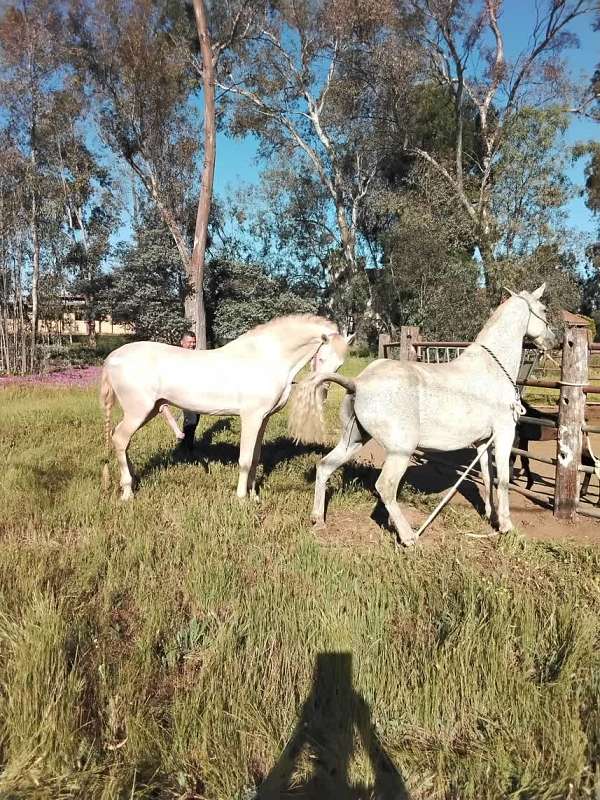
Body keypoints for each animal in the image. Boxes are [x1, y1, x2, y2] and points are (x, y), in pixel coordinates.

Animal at [99, 314, 352, 496]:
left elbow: (256, 457)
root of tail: (112, 357)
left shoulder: (263, 419)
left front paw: (253, 495)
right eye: (321, 357)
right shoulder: (251, 417)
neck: (266, 358)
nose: (323, 391)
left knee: (120, 439)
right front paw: (241, 498)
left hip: (150, 410)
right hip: (138, 411)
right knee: (120, 438)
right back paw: (128, 491)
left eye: (340, 365)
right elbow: (245, 460)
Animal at [288, 286, 556, 544]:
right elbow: (503, 479)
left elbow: (489, 478)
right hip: (400, 451)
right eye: (544, 309)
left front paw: (491, 515)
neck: (492, 368)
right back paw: (409, 537)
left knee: (324, 467)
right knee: (385, 487)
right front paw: (506, 526)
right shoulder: (504, 433)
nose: (553, 341)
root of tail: (357, 383)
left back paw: (318, 520)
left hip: (353, 440)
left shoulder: (482, 441)